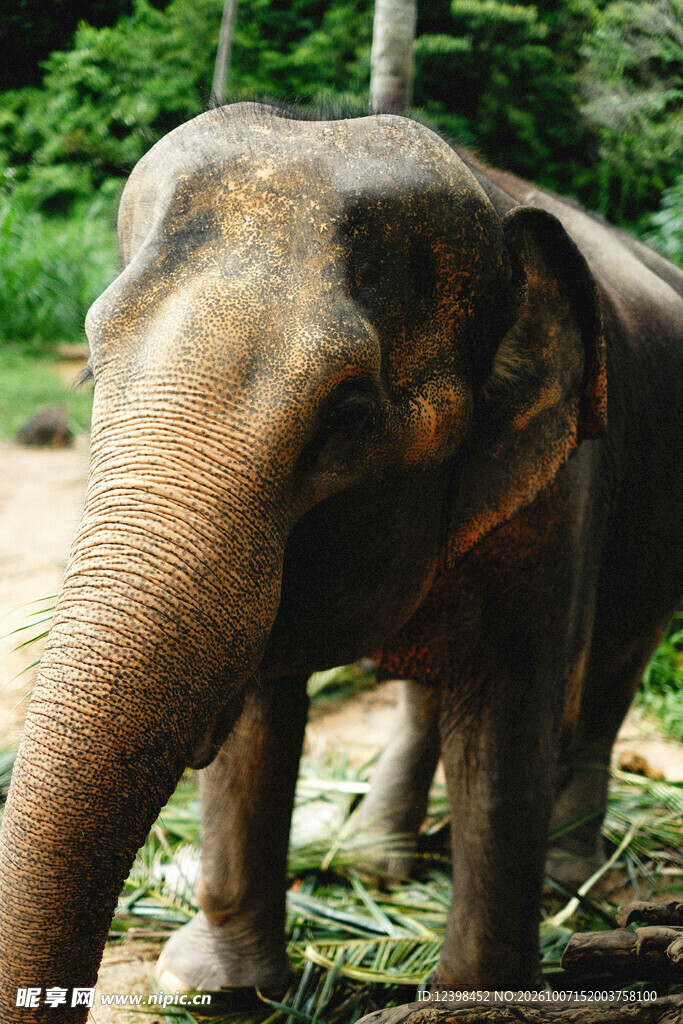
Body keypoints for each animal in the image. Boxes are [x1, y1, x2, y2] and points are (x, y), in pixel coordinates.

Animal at [1, 102, 682, 1021]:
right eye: (92, 368)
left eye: (350, 417)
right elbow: (261, 710)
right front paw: (215, 987)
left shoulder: (558, 486)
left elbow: (507, 719)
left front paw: (468, 1003)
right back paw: (370, 861)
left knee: (607, 674)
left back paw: (566, 882)